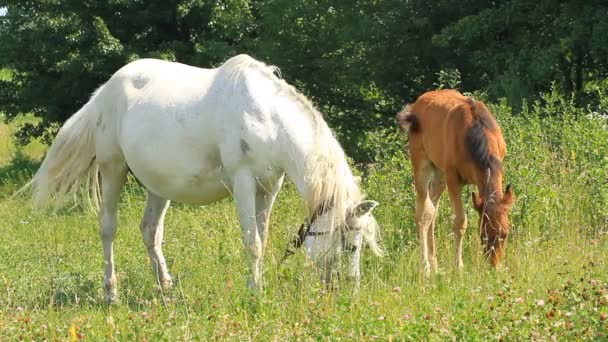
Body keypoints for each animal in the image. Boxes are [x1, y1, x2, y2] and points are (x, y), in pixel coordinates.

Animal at [27, 54, 384, 302]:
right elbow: (253, 242)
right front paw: (255, 293)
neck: (266, 117)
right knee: (108, 228)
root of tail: (104, 92)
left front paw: (259, 285)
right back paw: (111, 292)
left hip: (159, 183)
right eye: (351, 246)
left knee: (150, 231)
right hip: (112, 168)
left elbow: (263, 237)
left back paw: (166, 289)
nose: (350, 294)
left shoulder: (270, 187)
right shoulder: (244, 182)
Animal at [400, 89, 512, 276]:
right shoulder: (452, 177)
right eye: (483, 235)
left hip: (439, 175)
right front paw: (458, 267)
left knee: (432, 211)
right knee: (423, 212)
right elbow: (460, 221)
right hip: (422, 165)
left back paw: (435, 263)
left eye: (505, 234)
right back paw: (425, 267)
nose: (494, 266)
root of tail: (415, 106)